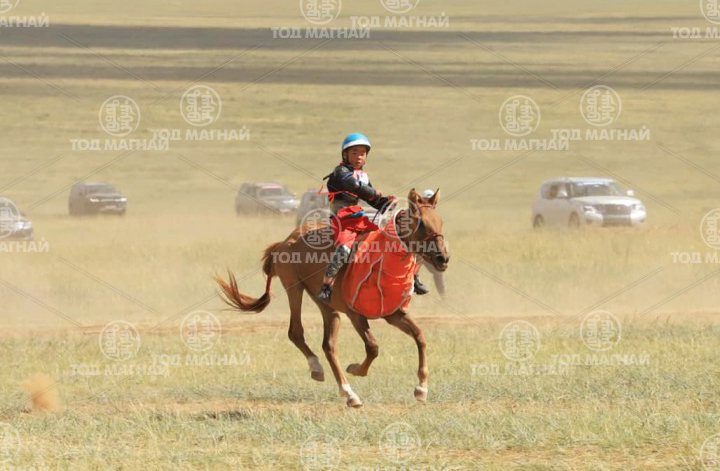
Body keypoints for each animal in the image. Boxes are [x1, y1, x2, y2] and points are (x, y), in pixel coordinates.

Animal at [215, 188, 450, 407]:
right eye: (421, 223)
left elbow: (420, 337)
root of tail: (284, 242)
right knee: (296, 332)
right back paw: (328, 376)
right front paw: (356, 369)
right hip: (294, 288)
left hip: (328, 308)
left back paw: (347, 391)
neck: (382, 261)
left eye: (440, 221)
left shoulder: (394, 314)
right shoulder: (356, 315)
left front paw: (421, 389)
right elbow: (373, 347)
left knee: (328, 345)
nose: (443, 258)